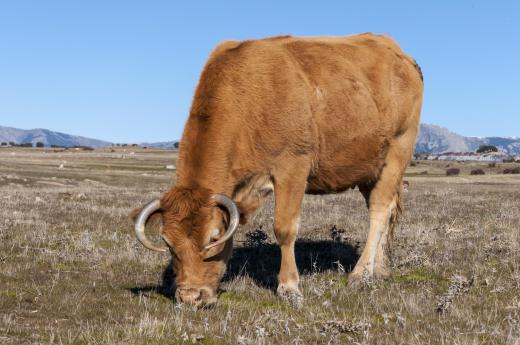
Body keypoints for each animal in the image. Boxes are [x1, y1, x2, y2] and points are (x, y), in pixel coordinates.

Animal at [134, 33, 422, 306]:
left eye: (213, 238)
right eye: (168, 243)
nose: (190, 297)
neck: (249, 97)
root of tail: (400, 55)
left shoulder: (292, 167)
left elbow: (284, 228)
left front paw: (289, 288)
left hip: (397, 152)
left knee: (379, 212)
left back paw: (361, 274)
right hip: (368, 168)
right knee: (386, 210)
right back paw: (379, 270)